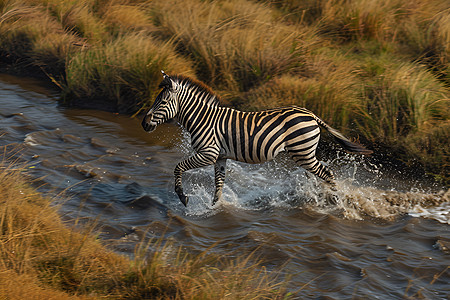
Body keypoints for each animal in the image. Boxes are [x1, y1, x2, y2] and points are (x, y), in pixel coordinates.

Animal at [142, 71, 370, 206]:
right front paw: (215, 208)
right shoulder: (220, 157)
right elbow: (219, 185)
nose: (144, 123)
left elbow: (178, 167)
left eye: (163, 102)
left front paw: (183, 197)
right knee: (320, 174)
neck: (203, 118)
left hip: (302, 152)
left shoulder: (208, 153)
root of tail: (311, 114)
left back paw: (336, 201)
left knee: (328, 173)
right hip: (305, 154)